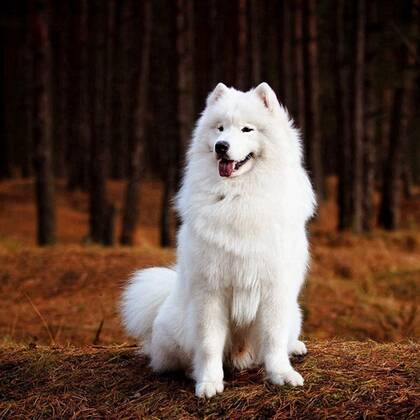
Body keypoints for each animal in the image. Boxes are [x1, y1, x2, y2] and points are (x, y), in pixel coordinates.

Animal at [120, 81, 316, 398]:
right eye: (220, 128)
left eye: (247, 129)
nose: (220, 146)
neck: (239, 196)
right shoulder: (210, 291)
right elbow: (210, 343)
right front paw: (209, 382)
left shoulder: (275, 288)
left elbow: (274, 339)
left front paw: (281, 374)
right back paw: (191, 370)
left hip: (293, 311)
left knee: (285, 337)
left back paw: (295, 347)